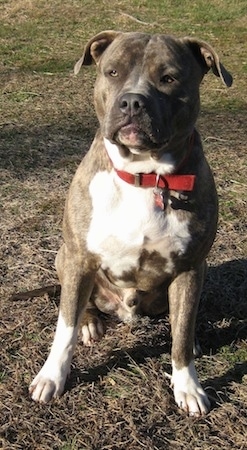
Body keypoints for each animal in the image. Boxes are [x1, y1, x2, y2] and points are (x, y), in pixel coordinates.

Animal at [29, 30, 232, 414]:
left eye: (169, 78)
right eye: (112, 72)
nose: (132, 102)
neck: (144, 174)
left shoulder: (190, 267)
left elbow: (181, 334)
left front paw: (188, 386)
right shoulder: (79, 258)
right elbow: (64, 326)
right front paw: (51, 377)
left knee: (181, 321)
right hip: (64, 257)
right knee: (79, 304)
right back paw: (90, 324)